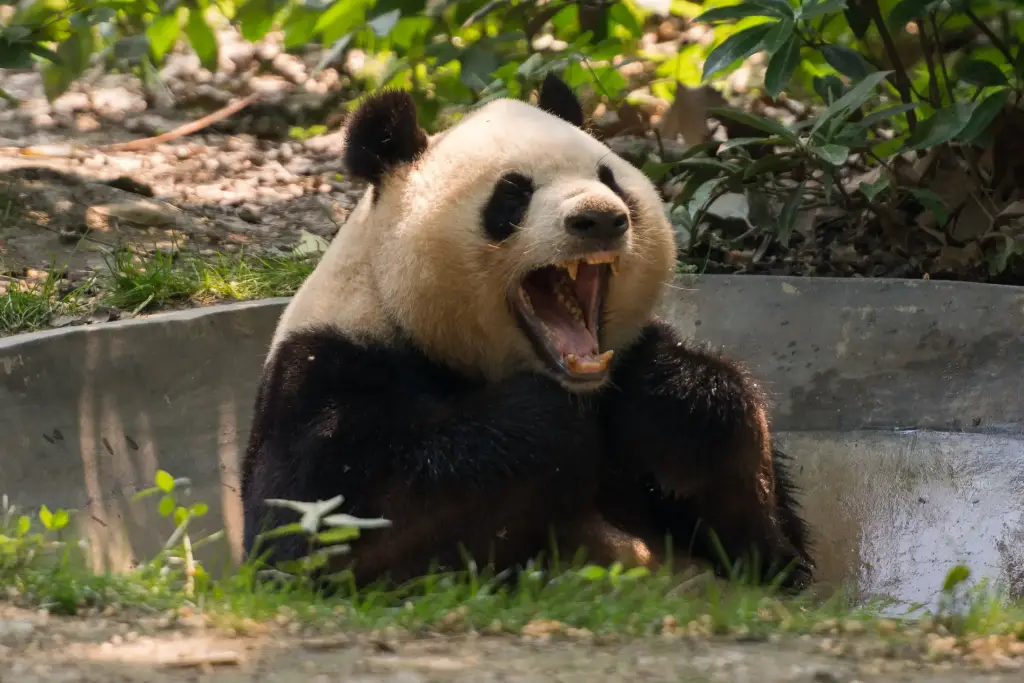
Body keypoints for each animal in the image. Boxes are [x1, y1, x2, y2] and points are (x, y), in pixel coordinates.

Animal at [240, 73, 814, 591]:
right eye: (512, 195)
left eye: (610, 179)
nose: (600, 219)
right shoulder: (329, 371)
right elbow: (325, 536)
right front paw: (545, 425)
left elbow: (773, 546)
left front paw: (679, 401)